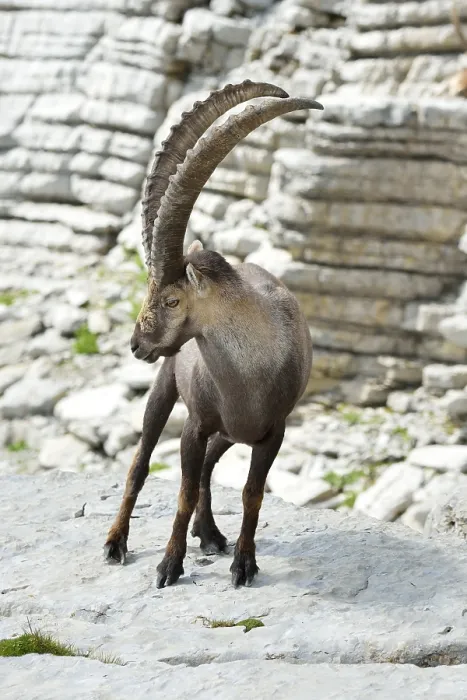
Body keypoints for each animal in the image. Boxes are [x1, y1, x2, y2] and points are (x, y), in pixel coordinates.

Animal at [104, 80, 323, 588]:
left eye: (171, 300)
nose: (137, 345)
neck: (249, 372)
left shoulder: (273, 432)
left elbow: (250, 494)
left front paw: (244, 564)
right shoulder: (195, 424)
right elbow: (181, 490)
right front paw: (169, 564)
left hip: (232, 433)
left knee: (208, 467)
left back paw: (210, 534)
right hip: (167, 390)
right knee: (140, 464)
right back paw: (116, 542)